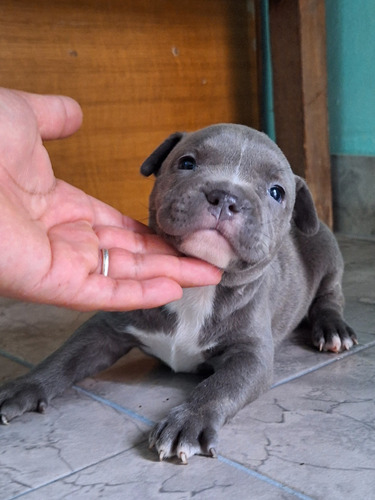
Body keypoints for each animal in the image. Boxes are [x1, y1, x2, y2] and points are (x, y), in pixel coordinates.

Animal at [0, 125, 358, 464]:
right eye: (187, 163)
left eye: (276, 192)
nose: (226, 195)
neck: (198, 289)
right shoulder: (106, 329)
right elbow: (65, 357)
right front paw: (24, 385)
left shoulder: (250, 354)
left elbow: (219, 386)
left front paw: (189, 422)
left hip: (325, 249)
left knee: (330, 296)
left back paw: (333, 329)